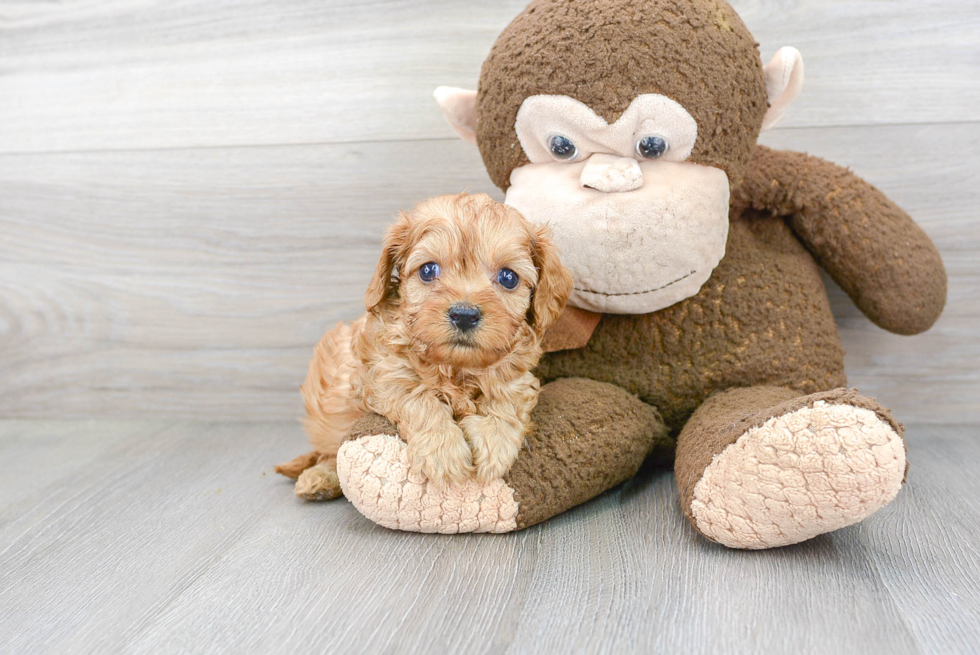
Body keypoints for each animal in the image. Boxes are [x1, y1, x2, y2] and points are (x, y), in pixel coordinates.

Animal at [276, 192, 572, 500]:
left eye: (508, 277)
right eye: (429, 270)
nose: (464, 314)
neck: (456, 368)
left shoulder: (518, 378)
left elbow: (507, 401)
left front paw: (494, 441)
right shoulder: (383, 375)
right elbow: (417, 397)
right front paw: (444, 451)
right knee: (329, 451)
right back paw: (320, 478)